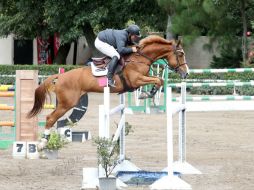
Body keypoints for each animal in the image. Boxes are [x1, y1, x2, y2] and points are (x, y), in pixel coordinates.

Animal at [26, 35, 189, 149]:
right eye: (180, 54)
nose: (186, 74)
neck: (139, 59)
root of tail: (61, 76)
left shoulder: (142, 78)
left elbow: (158, 80)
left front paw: (150, 94)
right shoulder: (136, 80)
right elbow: (157, 80)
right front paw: (147, 94)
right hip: (67, 103)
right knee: (50, 118)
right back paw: (42, 144)